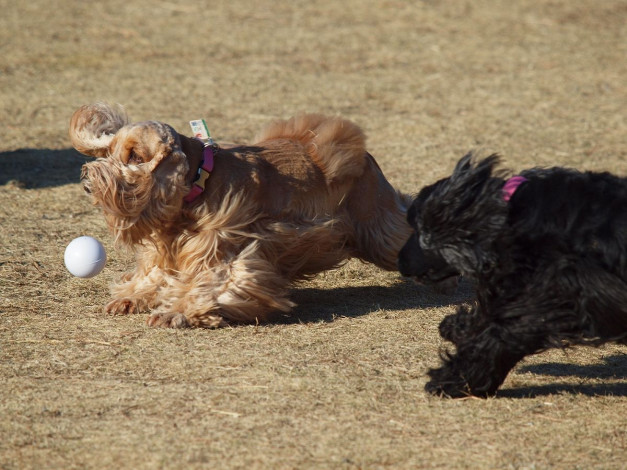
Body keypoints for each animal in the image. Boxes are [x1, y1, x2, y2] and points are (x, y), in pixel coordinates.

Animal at [70, 104, 412, 328]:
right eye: (111, 151)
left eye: (136, 156)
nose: (88, 182)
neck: (201, 179)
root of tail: (367, 158)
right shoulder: (169, 246)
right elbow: (155, 273)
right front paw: (131, 297)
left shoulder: (225, 248)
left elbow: (213, 284)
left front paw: (175, 313)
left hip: (377, 226)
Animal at [400, 153, 627, 396]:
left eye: (419, 228)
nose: (399, 260)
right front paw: (456, 325)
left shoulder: (553, 297)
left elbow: (499, 334)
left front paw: (452, 381)